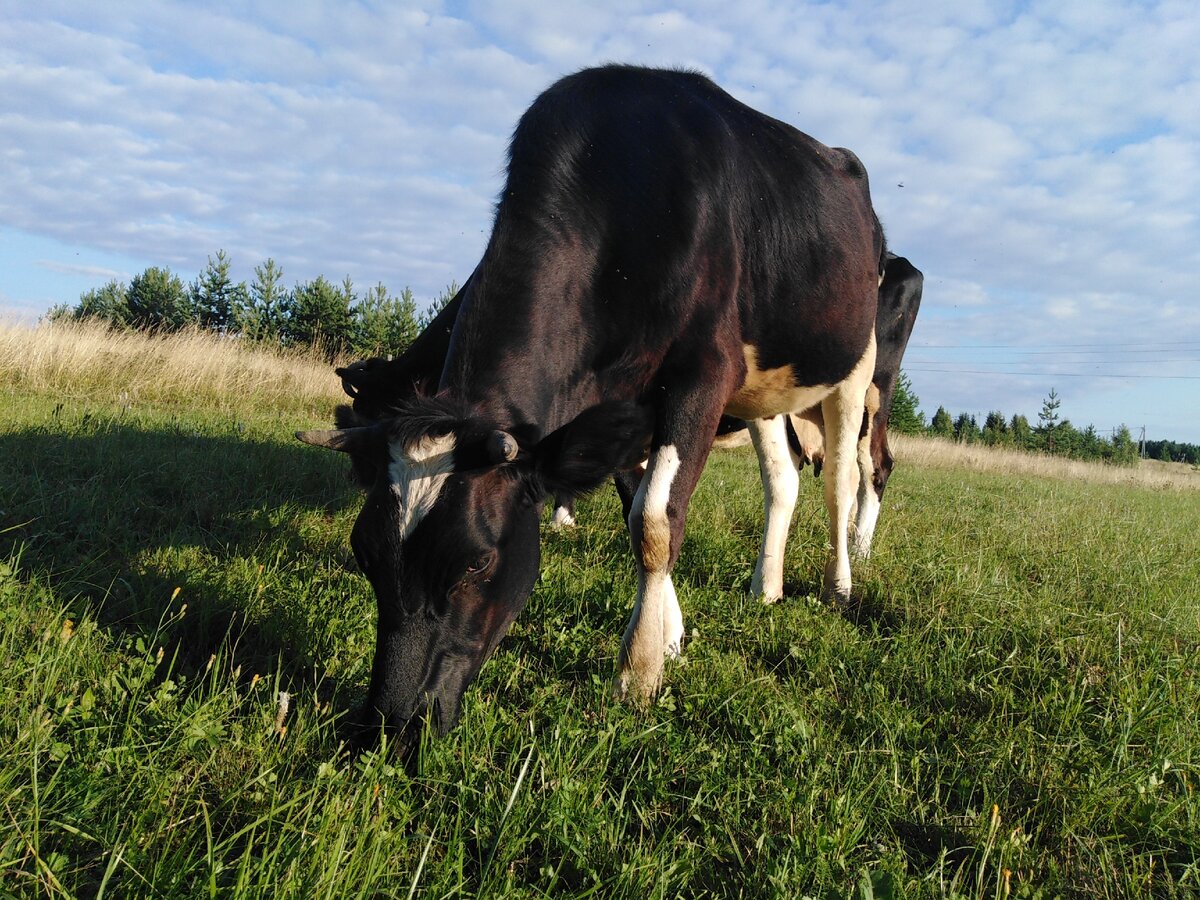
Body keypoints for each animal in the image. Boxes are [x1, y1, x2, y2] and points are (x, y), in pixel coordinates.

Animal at [296, 65, 888, 753]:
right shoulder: (623, 404)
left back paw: (838, 585)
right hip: (765, 390)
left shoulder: (704, 371)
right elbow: (639, 502)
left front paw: (640, 672)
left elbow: (655, 521)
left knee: (841, 483)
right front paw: (671, 634)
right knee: (784, 481)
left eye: (476, 561)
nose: (388, 725)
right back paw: (765, 587)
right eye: (365, 553)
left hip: (856, 367)